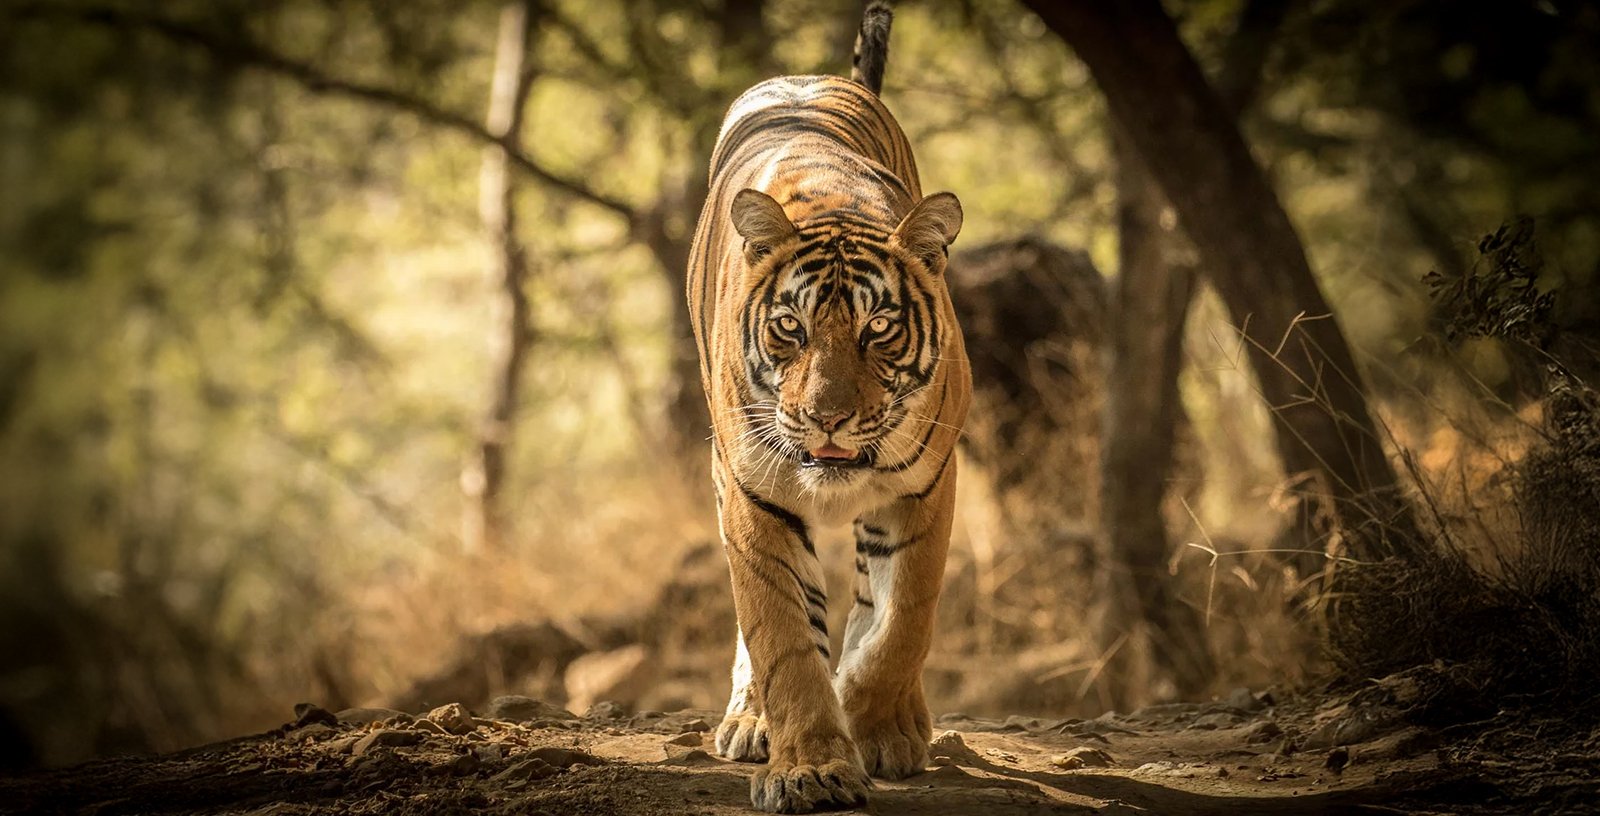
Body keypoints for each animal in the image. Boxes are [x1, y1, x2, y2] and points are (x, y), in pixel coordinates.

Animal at [685, 3, 970, 812]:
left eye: (879, 329)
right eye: (792, 328)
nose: (828, 418)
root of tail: (813, 77)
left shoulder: (929, 484)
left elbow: (902, 619)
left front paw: (881, 729)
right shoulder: (754, 492)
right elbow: (782, 637)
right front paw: (810, 767)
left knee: (874, 602)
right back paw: (750, 722)